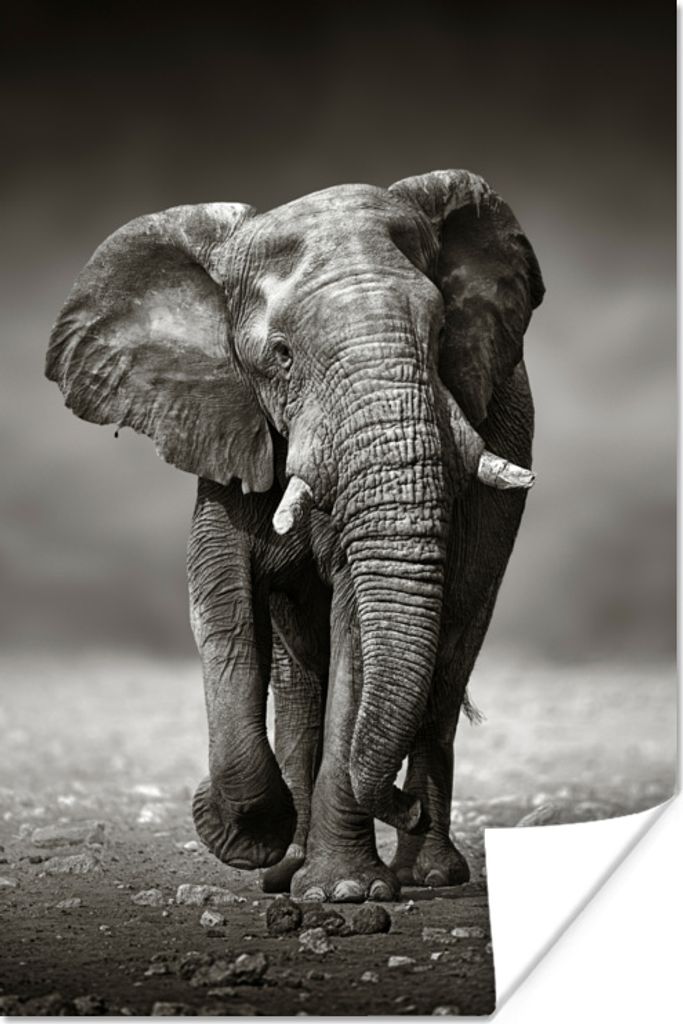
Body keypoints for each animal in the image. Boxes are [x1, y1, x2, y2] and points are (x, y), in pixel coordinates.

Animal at [45, 169, 544, 902]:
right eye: (280, 357)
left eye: (440, 334)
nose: (401, 805)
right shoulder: (225, 425)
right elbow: (222, 607)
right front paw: (247, 836)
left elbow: (357, 627)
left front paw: (345, 891)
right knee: (299, 678)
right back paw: (288, 870)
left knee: (448, 659)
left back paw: (425, 874)